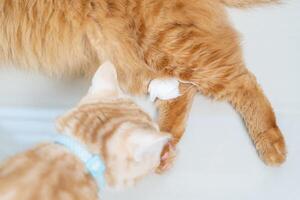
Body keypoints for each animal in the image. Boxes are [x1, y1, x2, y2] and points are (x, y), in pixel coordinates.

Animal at [0, 0, 286, 169]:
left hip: (166, 45)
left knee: (241, 80)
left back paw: (271, 143)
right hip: (128, 62)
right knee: (181, 93)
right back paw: (160, 151)